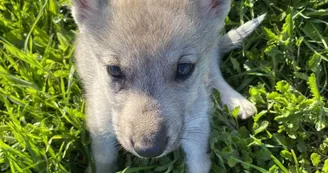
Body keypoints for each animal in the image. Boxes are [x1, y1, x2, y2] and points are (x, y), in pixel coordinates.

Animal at [71, 0, 264, 172]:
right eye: (114, 70)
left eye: (184, 68)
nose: (149, 150)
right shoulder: (100, 129)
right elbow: (104, 160)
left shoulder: (197, 132)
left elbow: (198, 163)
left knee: (213, 65)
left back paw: (235, 100)